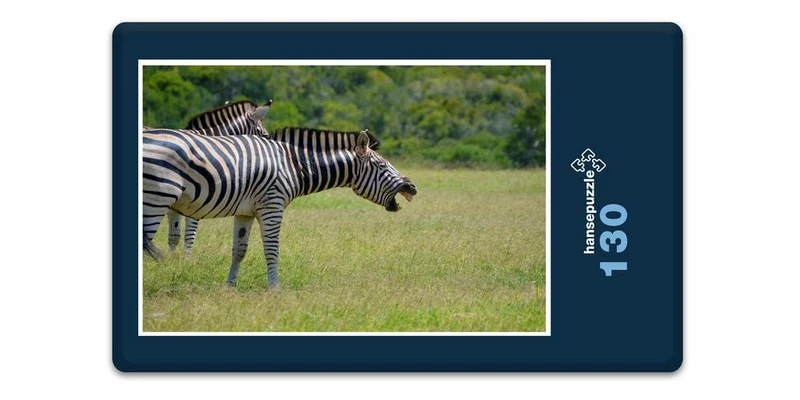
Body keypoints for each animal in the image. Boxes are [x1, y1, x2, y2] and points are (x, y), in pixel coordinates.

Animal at [142, 127, 417, 287]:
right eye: (381, 166)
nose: (412, 187)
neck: (293, 164)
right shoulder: (272, 206)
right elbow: (272, 250)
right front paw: (274, 287)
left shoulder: (244, 211)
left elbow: (239, 250)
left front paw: (230, 286)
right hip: (158, 195)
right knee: (146, 241)